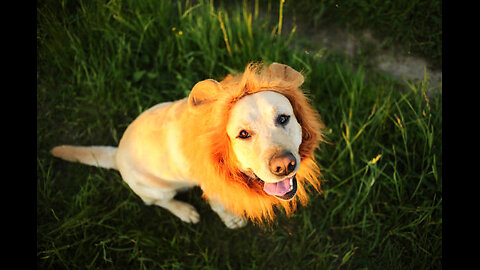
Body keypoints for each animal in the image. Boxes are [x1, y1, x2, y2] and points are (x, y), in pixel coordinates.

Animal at [50, 62, 324, 228]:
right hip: (157, 190)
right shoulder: (214, 189)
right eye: (243, 134)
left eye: (283, 118)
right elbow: (221, 208)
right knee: (158, 202)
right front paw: (232, 220)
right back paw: (184, 210)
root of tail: (116, 154)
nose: (284, 165)